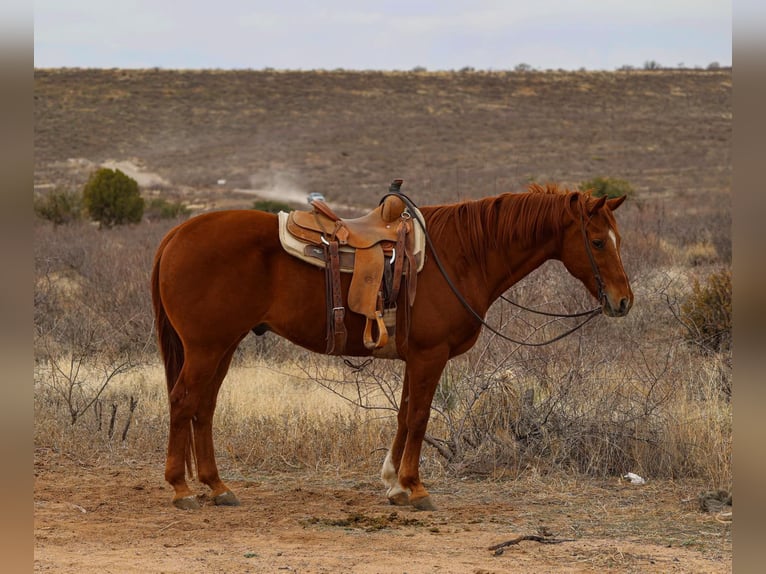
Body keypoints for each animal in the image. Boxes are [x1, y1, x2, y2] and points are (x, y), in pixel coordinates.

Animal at [151, 183, 633, 510]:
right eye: (596, 241)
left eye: (617, 240)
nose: (623, 301)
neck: (462, 256)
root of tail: (175, 234)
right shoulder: (430, 355)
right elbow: (418, 417)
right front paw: (414, 488)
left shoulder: (415, 357)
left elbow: (403, 415)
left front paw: (393, 483)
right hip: (206, 347)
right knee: (183, 401)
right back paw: (180, 487)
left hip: (223, 346)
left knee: (204, 407)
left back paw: (216, 486)